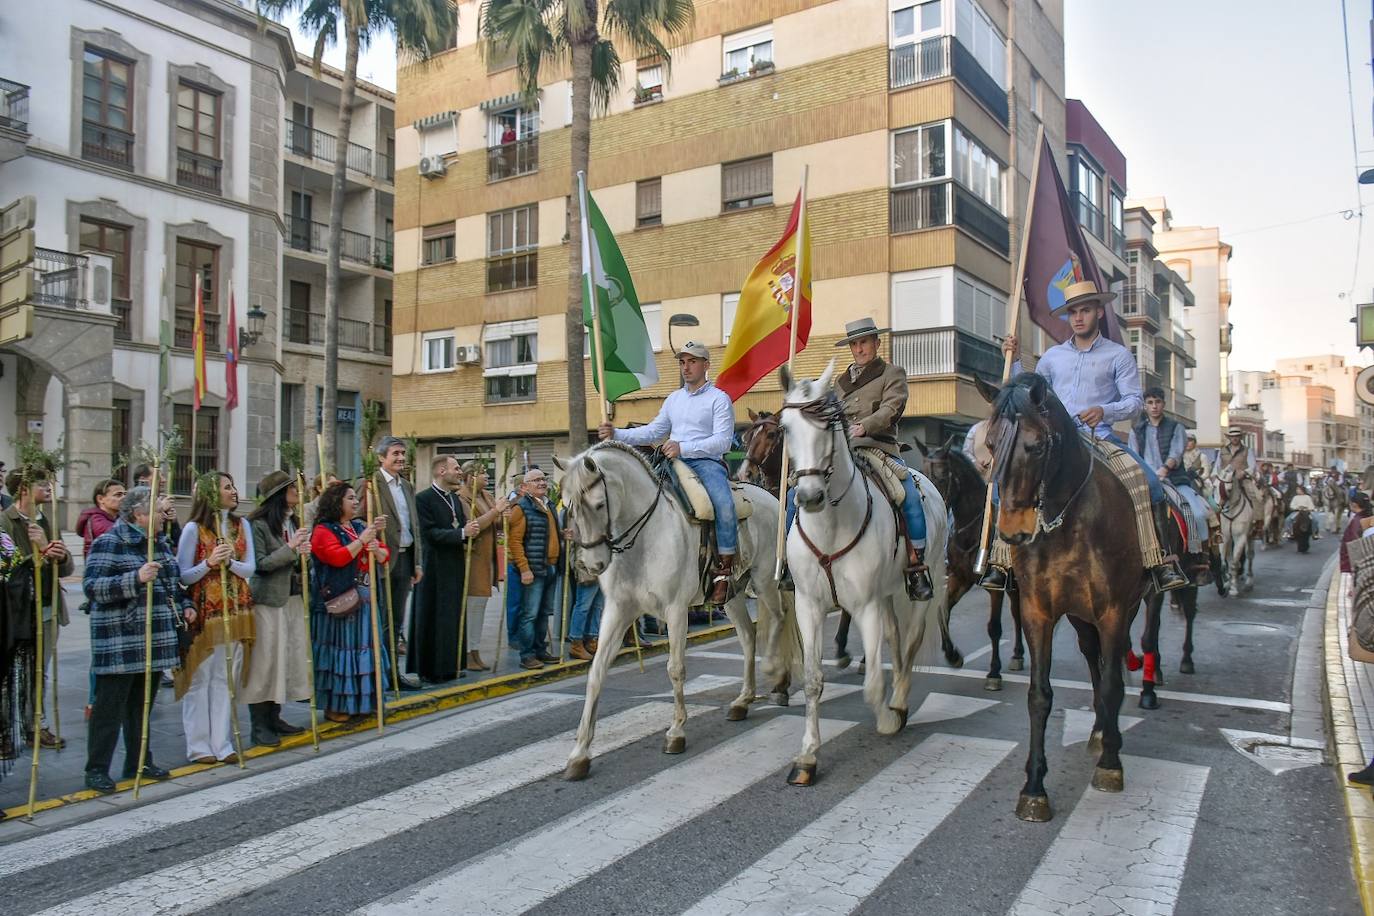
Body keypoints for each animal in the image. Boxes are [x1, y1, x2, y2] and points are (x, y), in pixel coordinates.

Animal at [555, 444, 796, 780]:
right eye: (567, 506)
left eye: (599, 504)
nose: (589, 566)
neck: (644, 540)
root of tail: (771, 497)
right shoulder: (618, 610)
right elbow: (597, 671)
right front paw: (579, 754)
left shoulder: (676, 610)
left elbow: (675, 669)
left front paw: (676, 732)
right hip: (731, 594)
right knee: (748, 636)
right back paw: (743, 701)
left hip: (764, 581)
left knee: (778, 619)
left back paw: (778, 680)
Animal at [780, 362, 950, 785]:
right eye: (785, 428)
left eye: (826, 425)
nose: (808, 497)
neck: (830, 524)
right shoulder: (809, 606)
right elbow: (813, 680)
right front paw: (807, 758)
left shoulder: (866, 605)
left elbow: (873, 684)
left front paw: (888, 720)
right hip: (888, 596)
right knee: (895, 639)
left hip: (916, 591)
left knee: (909, 643)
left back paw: (901, 703)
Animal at [912, 436, 1022, 686]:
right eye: (922, 474)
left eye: (942, 476)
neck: (973, 530)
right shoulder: (959, 578)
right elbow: (943, 612)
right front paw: (953, 655)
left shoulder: (994, 587)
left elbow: (994, 628)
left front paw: (994, 673)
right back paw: (1018, 655)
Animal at [989, 373, 1148, 823]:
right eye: (989, 444)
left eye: (1038, 446)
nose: (1012, 531)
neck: (1067, 523)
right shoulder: (1038, 612)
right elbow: (1040, 696)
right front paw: (1034, 787)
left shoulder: (1113, 610)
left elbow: (1112, 684)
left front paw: (1111, 765)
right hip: (1081, 616)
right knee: (1093, 657)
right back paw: (1097, 731)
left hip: (1134, 604)